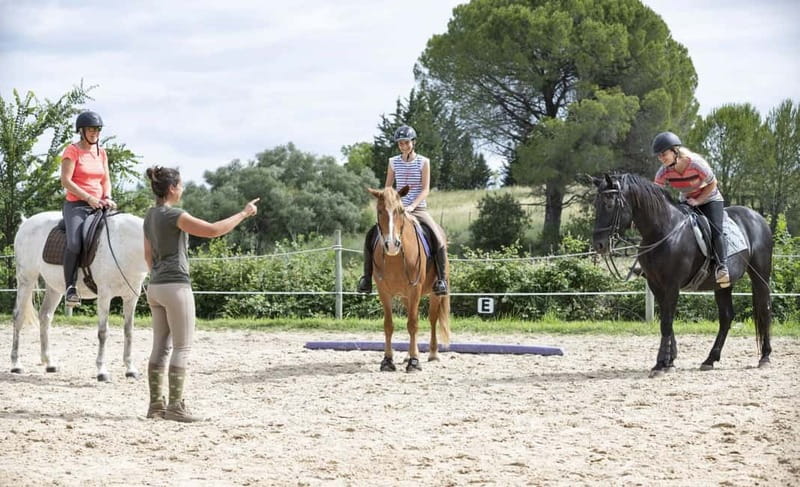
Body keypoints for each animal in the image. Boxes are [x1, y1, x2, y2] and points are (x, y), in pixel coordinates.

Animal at [11, 210, 149, 381]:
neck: (124, 245)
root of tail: (26, 222)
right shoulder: (104, 295)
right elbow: (103, 332)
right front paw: (102, 371)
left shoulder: (131, 297)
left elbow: (129, 331)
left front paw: (130, 369)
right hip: (26, 280)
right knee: (19, 317)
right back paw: (16, 365)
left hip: (54, 288)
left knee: (45, 316)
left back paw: (49, 363)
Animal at [367, 186, 451, 372]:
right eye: (380, 210)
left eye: (400, 211)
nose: (392, 245)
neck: (395, 258)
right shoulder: (384, 292)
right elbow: (389, 325)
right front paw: (388, 360)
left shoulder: (415, 288)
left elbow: (413, 324)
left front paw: (414, 362)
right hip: (406, 297)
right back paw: (408, 355)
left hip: (434, 293)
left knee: (432, 319)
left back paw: (432, 354)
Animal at [592, 173, 772, 377]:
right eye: (596, 204)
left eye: (609, 204)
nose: (599, 244)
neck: (664, 231)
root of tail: (758, 217)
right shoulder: (655, 284)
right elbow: (667, 321)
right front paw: (669, 360)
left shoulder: (672, 284)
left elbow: (666, 322)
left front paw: (660, 364)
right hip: (722, 285)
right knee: (726, 317)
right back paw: (710, 359)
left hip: (761, 276)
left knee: (764, 309)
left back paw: (765, 357)